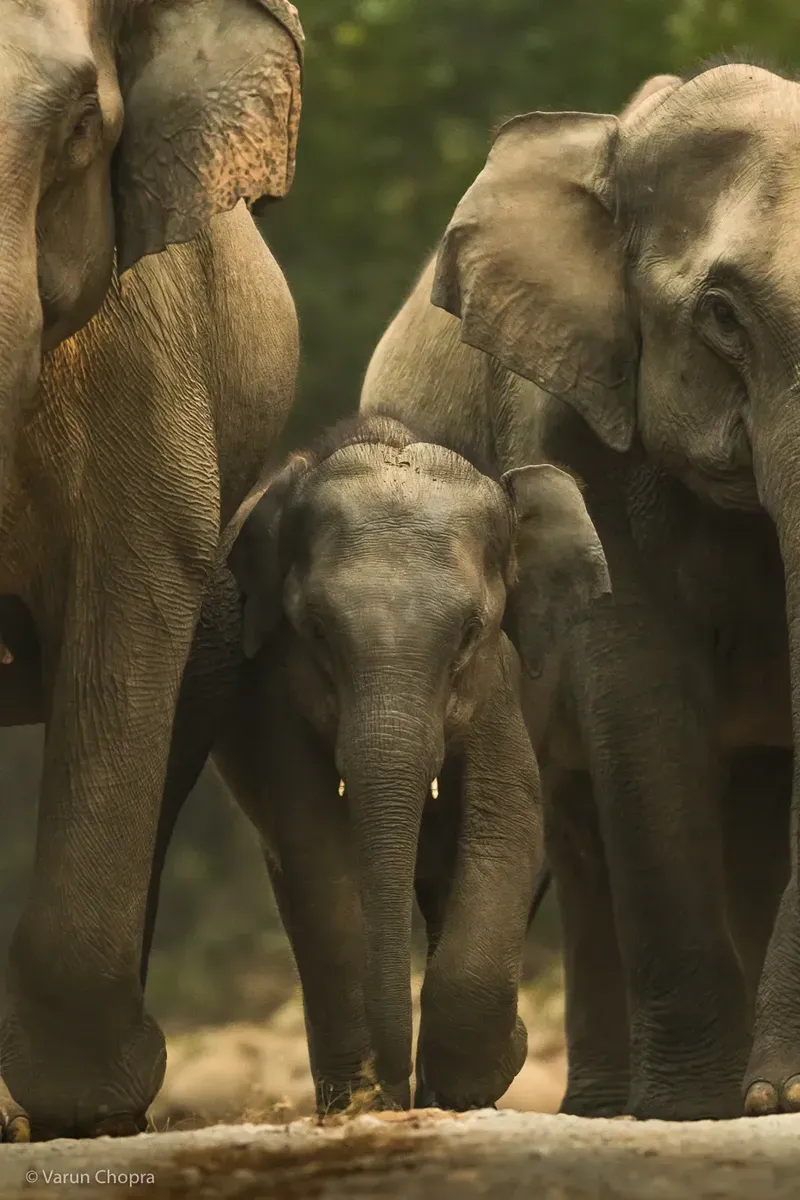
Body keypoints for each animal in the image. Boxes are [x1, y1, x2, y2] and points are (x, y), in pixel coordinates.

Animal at [213, 408, 610, 1113]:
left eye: (471, 631)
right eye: (316, 630)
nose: (392, 1087)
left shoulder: (497, 686)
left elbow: (508, 829)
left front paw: (477, 1078)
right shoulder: (276, 694)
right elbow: (317, 852)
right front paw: (370, 1100)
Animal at [360, 62, 800, 1121]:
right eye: (723, 314)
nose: (775, 1095)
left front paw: (762, 1098)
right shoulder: (569, 418)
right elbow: (640, 700)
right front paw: (692, 1111)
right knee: (582, 820)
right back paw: (610, 1107)